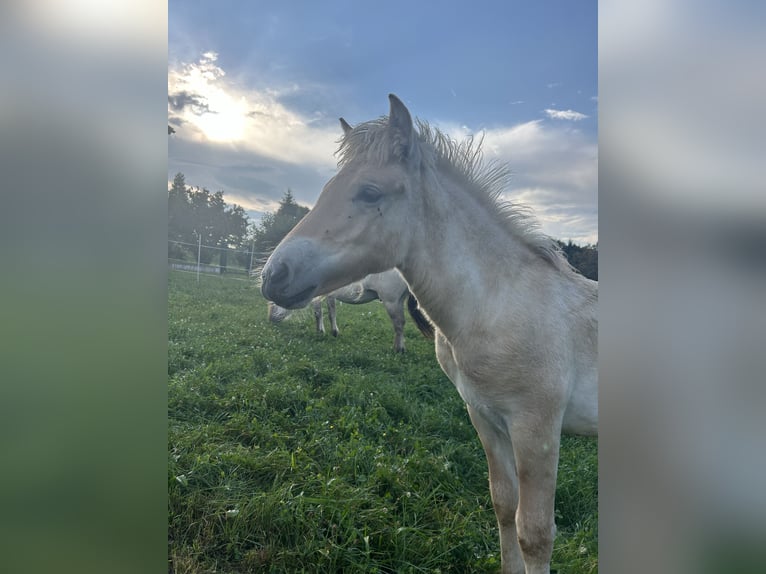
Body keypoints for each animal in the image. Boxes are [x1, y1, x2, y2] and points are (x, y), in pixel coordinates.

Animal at [268, 268, 432, 354]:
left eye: (273, 303)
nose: (271, 319)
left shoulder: (324, 296)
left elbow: (324, 313)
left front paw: (329, 331)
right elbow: (325, 313)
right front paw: (325, 331)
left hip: (391, 301)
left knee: (399, 324)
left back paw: (399, 348)